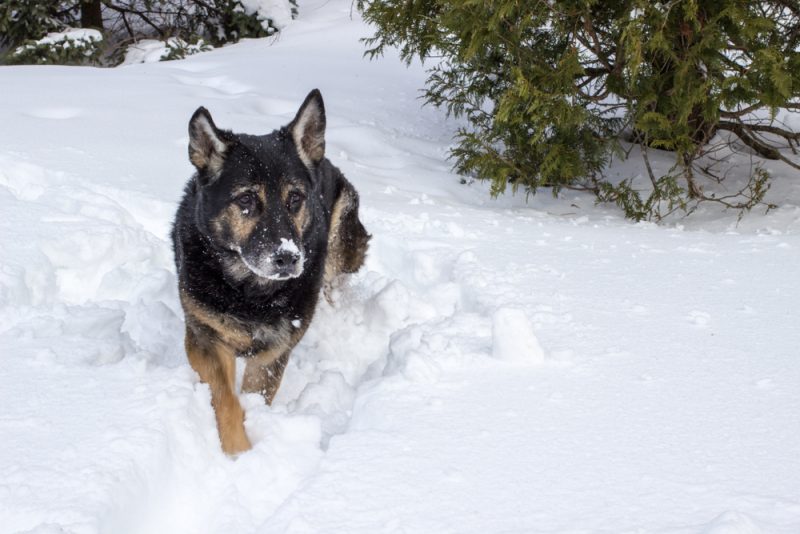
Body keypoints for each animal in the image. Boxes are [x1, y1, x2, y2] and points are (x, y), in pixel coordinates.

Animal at [171, 90, 368, 454]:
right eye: (246, 199)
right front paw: (238, 452)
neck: (250, 292)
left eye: (296, 199)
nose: (288, 258)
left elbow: (255, 394)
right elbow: (227, 398)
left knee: (332, 281)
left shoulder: (274, 350)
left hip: (342, 241)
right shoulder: (206, 339)